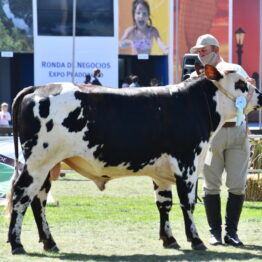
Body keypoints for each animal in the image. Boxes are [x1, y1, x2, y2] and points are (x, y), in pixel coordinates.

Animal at [6, 64, 262, 255]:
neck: (194, 104)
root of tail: (38, 87)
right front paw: (195, 240)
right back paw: (17, 244)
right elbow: (187, 203)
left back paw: (50, 243)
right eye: (240, 83)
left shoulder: (162, 172)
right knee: (21, 195)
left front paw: (169, 239)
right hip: (38, 162)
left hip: (48, 166)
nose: (259, 95)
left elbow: (164, 203)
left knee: (38, 200)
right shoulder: (187, 164)